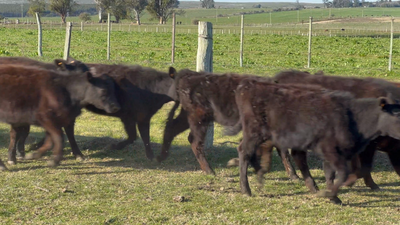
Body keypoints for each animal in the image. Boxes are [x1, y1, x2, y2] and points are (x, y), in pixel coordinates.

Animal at [233, 78, 400, 205]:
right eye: (397, 115)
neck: (353, 116)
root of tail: (249, 84)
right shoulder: (330, 149)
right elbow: (343, 173)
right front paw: (331, 194)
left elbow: (331, 174)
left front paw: (332, 196)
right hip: (255, 132)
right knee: (245, 151)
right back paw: (246, 189)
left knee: (295, 156)